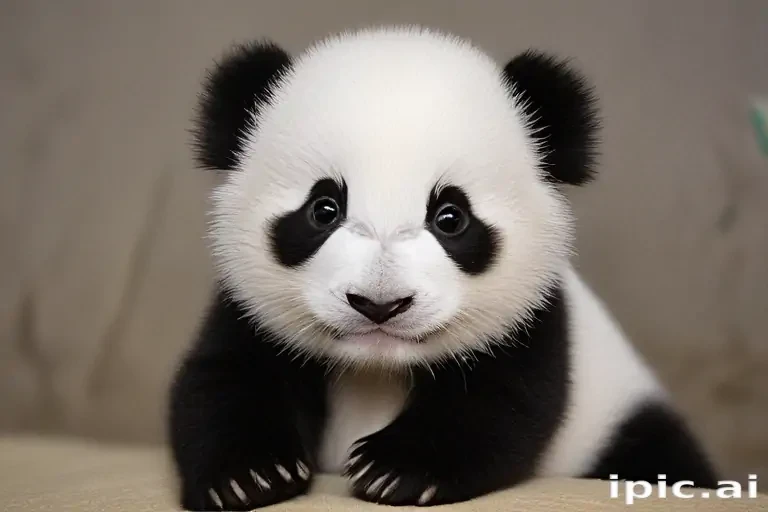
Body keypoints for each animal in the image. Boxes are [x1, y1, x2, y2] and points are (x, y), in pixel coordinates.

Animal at [168, 25, 718, 510]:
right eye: (323, 210)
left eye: (451, 217)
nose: (379, 305)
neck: (377, 367)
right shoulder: (248, 310)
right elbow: (222, 379)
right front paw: (248, 477)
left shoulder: (533, 317)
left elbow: (503, 403)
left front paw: (396, 470)